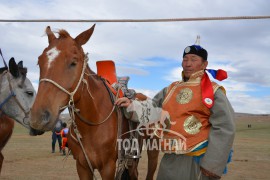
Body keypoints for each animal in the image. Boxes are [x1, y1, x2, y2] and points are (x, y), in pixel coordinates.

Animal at [30, 24, 159, 179]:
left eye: (73, 62)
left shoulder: (108, 167)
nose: (39, 117)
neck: (92, 125)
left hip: (150, 149)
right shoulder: (82, 166)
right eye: (39, 62)